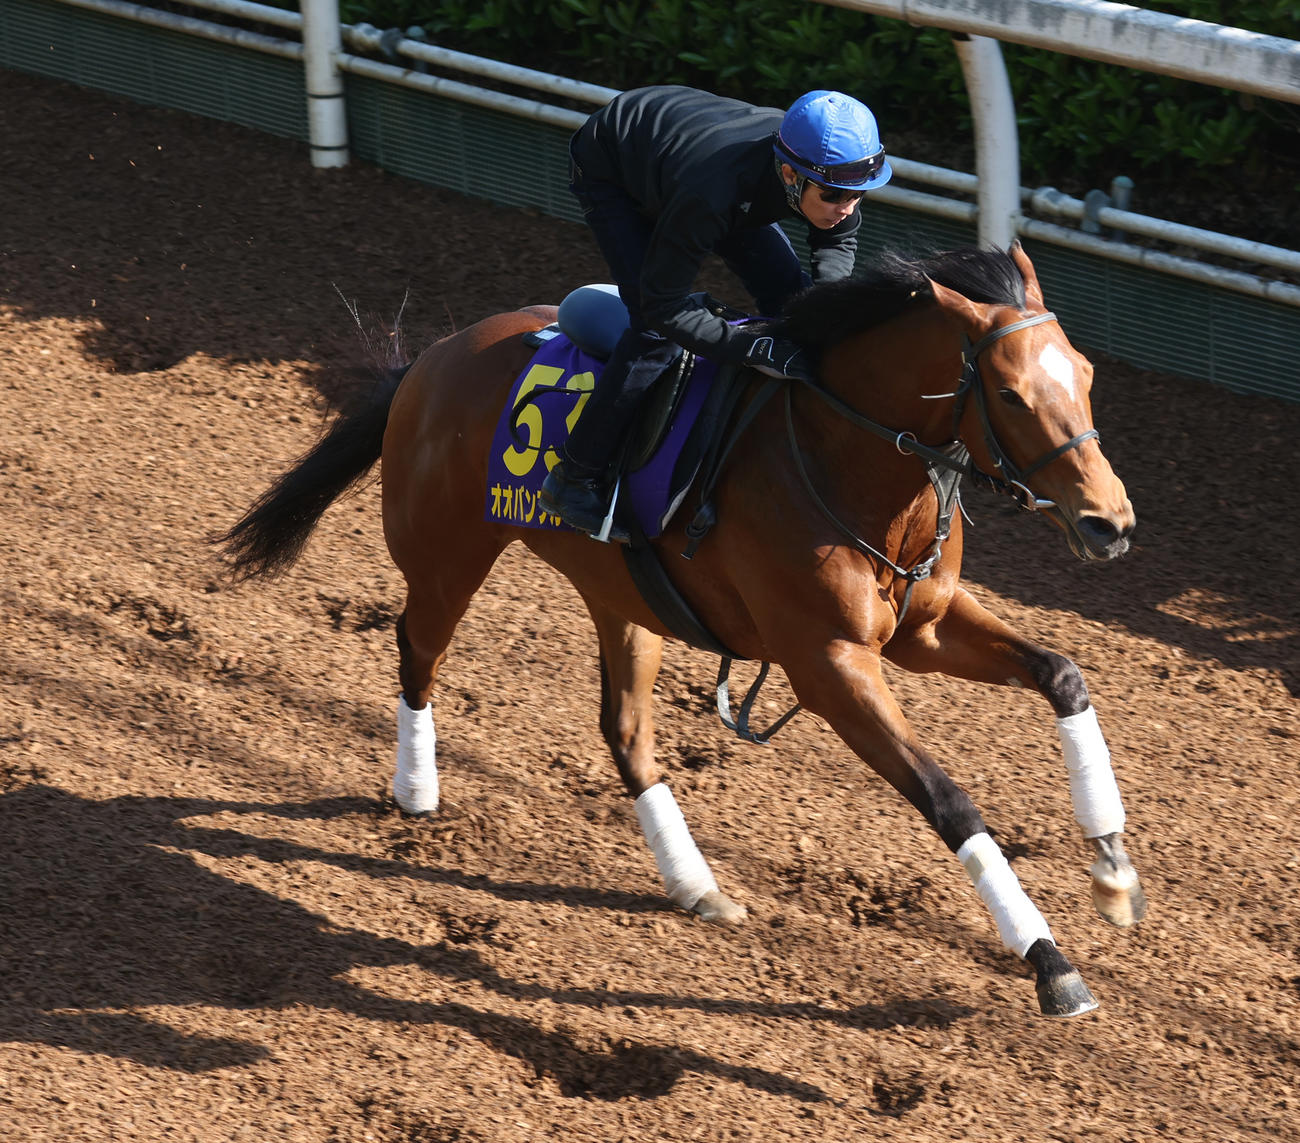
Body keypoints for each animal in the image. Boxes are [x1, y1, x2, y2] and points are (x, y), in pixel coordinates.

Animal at [220, 241, 1146, 1018]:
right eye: (1012, 393)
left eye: (1086, 374)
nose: (1109, 522)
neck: (845, 456)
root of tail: (436, 355)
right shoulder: (828, 663)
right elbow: (949, 798)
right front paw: (1048, 958)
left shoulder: (924, 627)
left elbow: (1064, 672)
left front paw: (1111, 863)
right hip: (447, 552)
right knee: (417, 650)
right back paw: (416, 790)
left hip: (627, 598)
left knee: (625, 730)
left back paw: (695, 882)